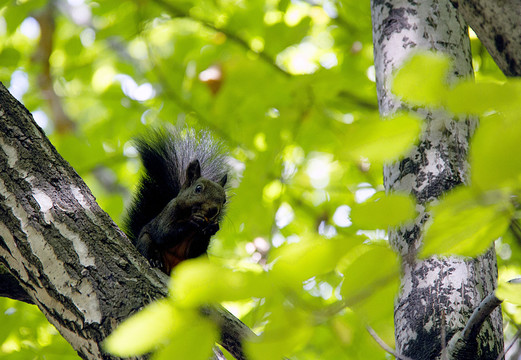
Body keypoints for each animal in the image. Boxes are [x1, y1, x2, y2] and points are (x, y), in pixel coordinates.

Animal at [123, 128, 229, 274]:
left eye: (224, 200)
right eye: (198, 188)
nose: (213, 210)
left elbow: (195, 252)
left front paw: (211, 228)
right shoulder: (170, 211)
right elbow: (164, 233)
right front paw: (193, 221)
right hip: (145, 239)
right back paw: (155, 260)